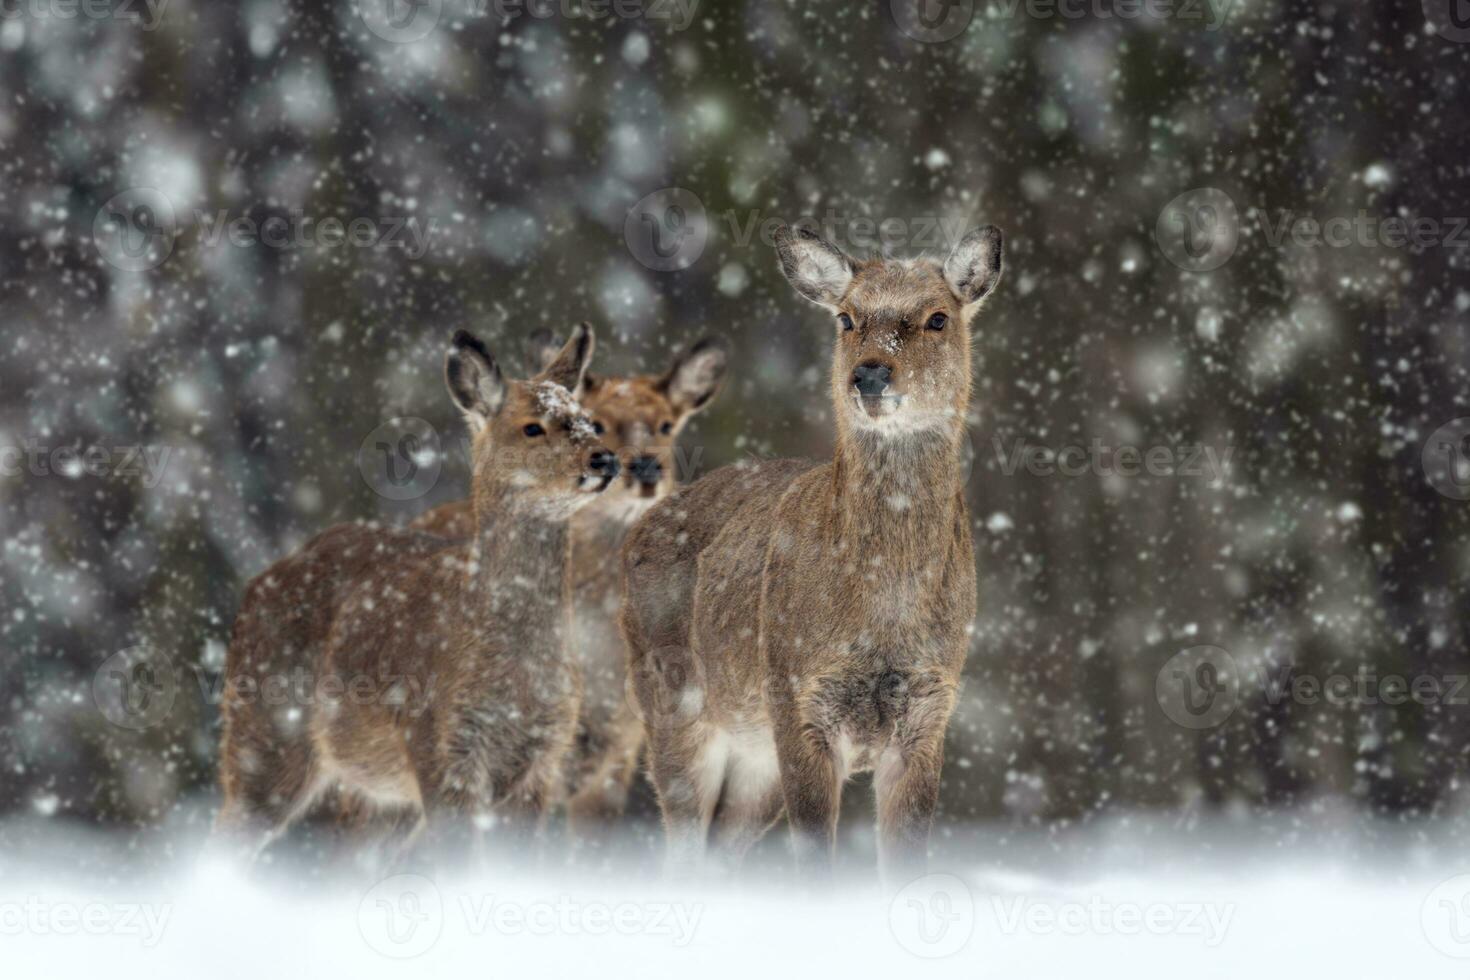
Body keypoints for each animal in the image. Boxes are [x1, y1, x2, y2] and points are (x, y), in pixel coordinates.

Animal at [214, 327, 617, 858]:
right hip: (265, 731)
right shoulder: (438, 742)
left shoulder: (541, 757)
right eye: (532, 427)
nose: (605, 457)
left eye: (589, 420)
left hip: (380, 795)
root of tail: (254, 587)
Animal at [614, 221, 1005, 881]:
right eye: (846, 318)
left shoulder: (930, 711)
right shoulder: (797, 697)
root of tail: (637, 531)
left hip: (753, 755)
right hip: (673, 699)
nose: (870, 375)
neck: (883, 613)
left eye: (937, 318)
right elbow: (816, 859)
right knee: (682, 846)